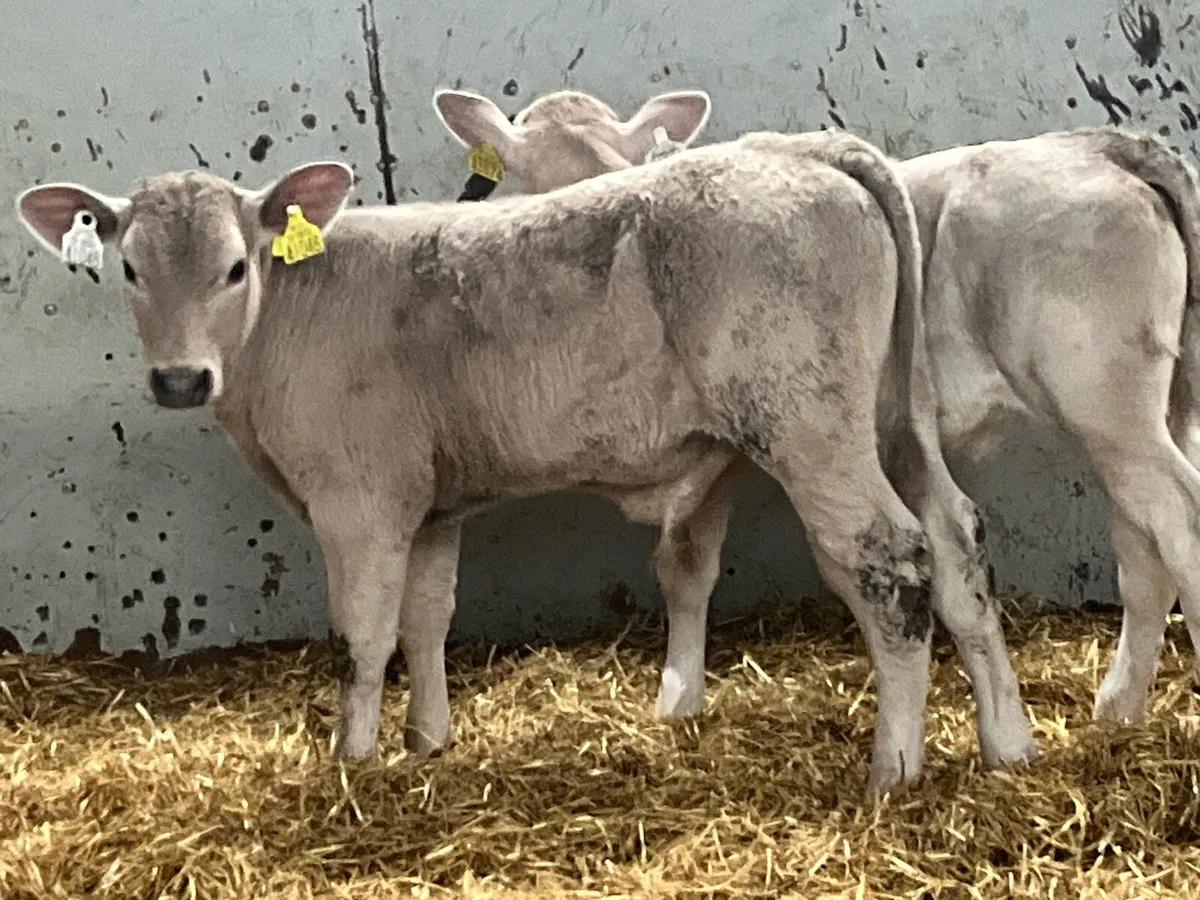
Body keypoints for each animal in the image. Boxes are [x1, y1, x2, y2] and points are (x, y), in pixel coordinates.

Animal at [19, 127, 945, 797]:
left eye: (236, 268)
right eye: (128, 268)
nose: (179, 379)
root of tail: (799, 149)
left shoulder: (359, 504)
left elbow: (361, 637)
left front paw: (352, 765)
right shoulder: (428, 504)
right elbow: (427, 620)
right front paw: (428, 742)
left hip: (810, 431)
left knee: (891, 563)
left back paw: (892, 773)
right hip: (869, 432)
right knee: (953, 539)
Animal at [434, 87, 1200, 734]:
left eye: (613, 172)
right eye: (521, 176)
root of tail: (1102, 145)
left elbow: (687, 560)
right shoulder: (723, 454)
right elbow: (686, 570)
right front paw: (679, 699)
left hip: (1105, 406)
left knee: (1177, 524)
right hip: (1158, 410)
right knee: (1141, 548)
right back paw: (1118, 705)